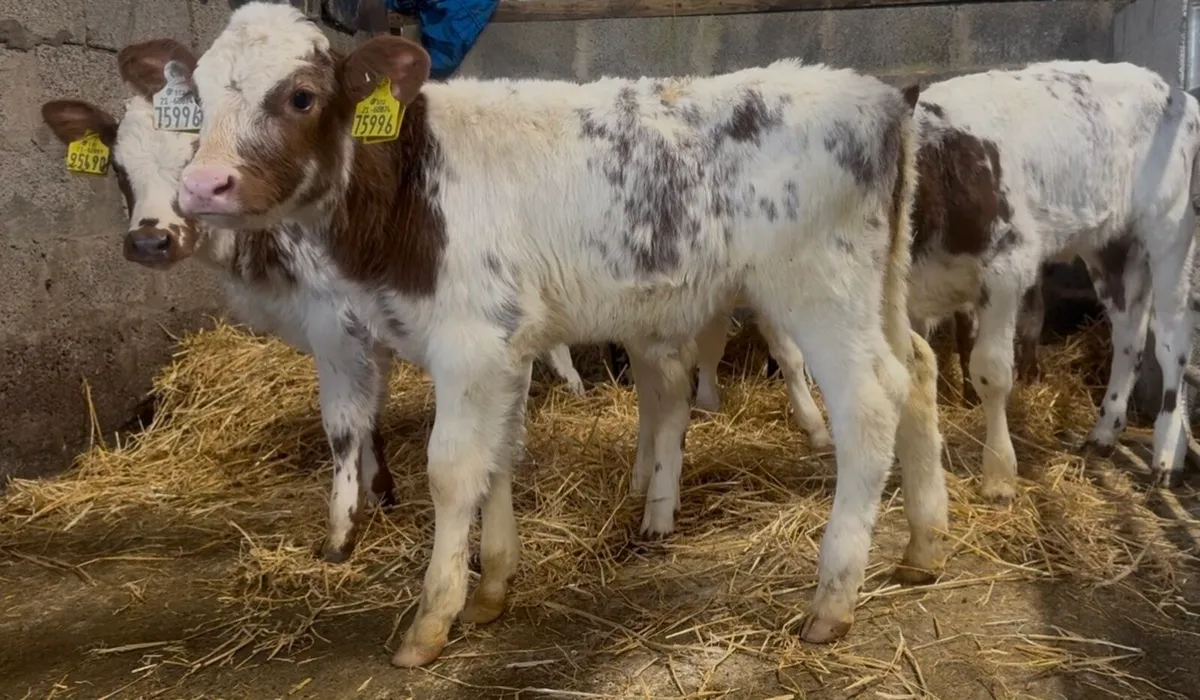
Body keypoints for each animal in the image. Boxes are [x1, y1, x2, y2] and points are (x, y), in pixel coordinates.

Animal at [170, 2, 946, 667]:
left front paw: (430, 620)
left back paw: (833, 600)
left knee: (871, 401)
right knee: (918, 368)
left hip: (819, 290)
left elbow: (453, 471)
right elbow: (499, 457)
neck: (412, 187)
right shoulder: (504, 346)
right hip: (881, 285)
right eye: (198, 97)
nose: (201, 187)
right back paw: (923, 545)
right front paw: (491, 590)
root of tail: (879, 98)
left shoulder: (468, 344)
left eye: (300, 96)